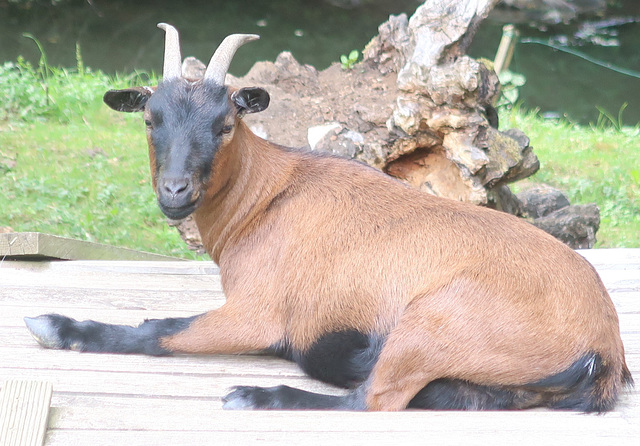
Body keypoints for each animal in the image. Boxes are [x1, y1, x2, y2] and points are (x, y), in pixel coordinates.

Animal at [23, 22, 632, 410]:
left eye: (225, 124)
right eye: (150, 119)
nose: (175, 190)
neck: (266, 197)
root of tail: (604, 347)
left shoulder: (257, 312)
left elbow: (159, 332)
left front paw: (57, 326)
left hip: (432, 321)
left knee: (373, 402)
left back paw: (259, 396)